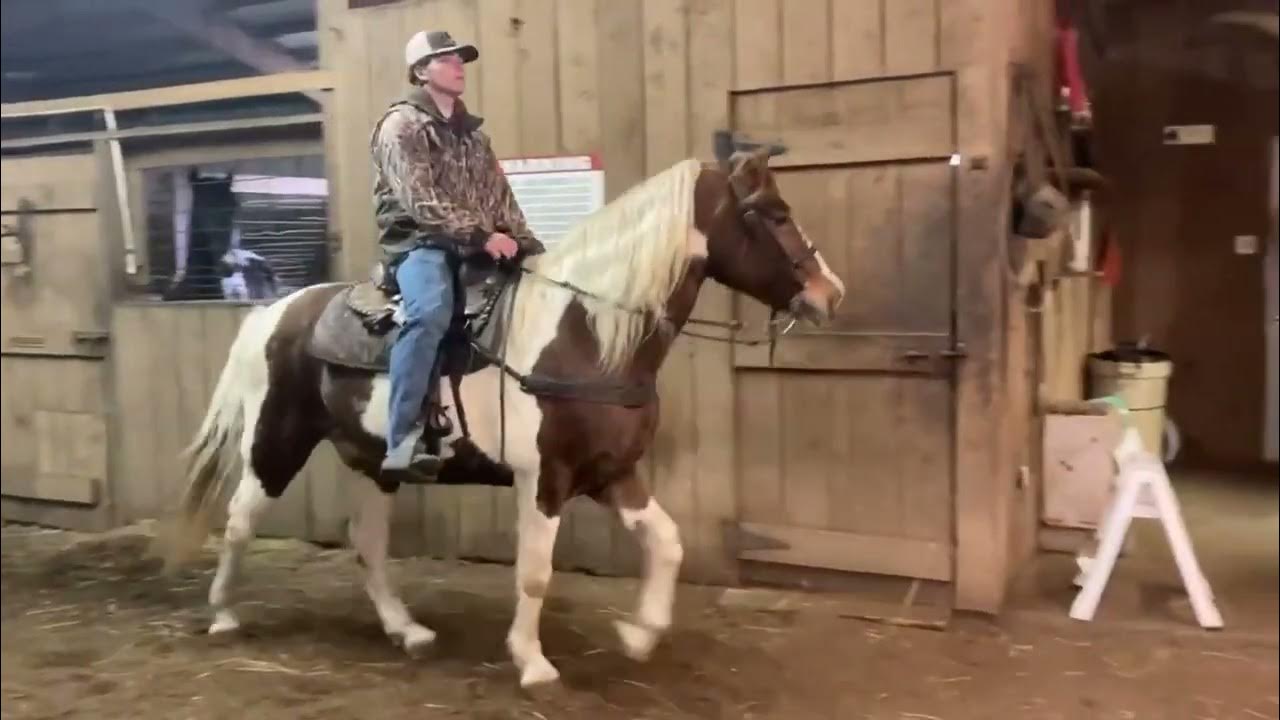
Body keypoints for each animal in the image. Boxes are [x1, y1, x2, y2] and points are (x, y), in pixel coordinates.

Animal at [153, 140, 846, 688]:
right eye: (775, 214)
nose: (830, 293)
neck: (586, 333)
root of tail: (277, 312)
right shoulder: (546, 480)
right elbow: (535, 573)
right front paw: (532, 663)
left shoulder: (613, 473)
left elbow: (668, 544)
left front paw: (638, 635)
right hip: (276, 442)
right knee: (240, 520)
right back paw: (223, 615)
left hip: (375, 462)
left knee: (367, 544)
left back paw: (407, 631)